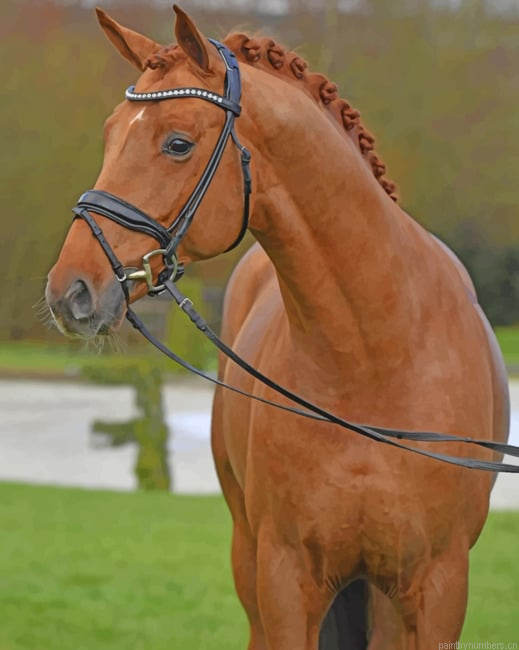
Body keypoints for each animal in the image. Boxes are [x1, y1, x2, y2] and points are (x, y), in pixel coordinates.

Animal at [45, 6, 510, 649]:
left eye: (177, 143)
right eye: (112, 134)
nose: (71, 292)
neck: (374, 360)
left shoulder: (438, 587)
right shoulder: (286, 579)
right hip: (250, 559)